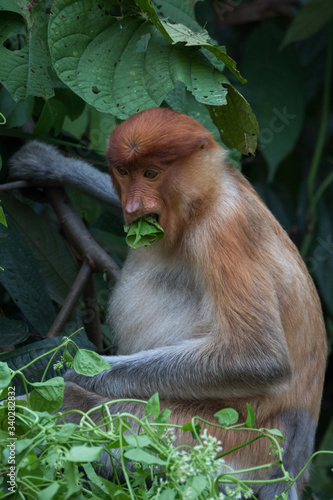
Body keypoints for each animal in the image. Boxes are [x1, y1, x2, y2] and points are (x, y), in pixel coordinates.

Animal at [9, 107, 326, 498]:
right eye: (124, 172)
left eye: (152, 174)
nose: (133, 206)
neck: (207, 198)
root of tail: (291, 467)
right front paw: (49, 164)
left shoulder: (222, 231)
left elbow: (259, 358)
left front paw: (82, 373)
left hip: (221, 443)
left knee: (90, 412)